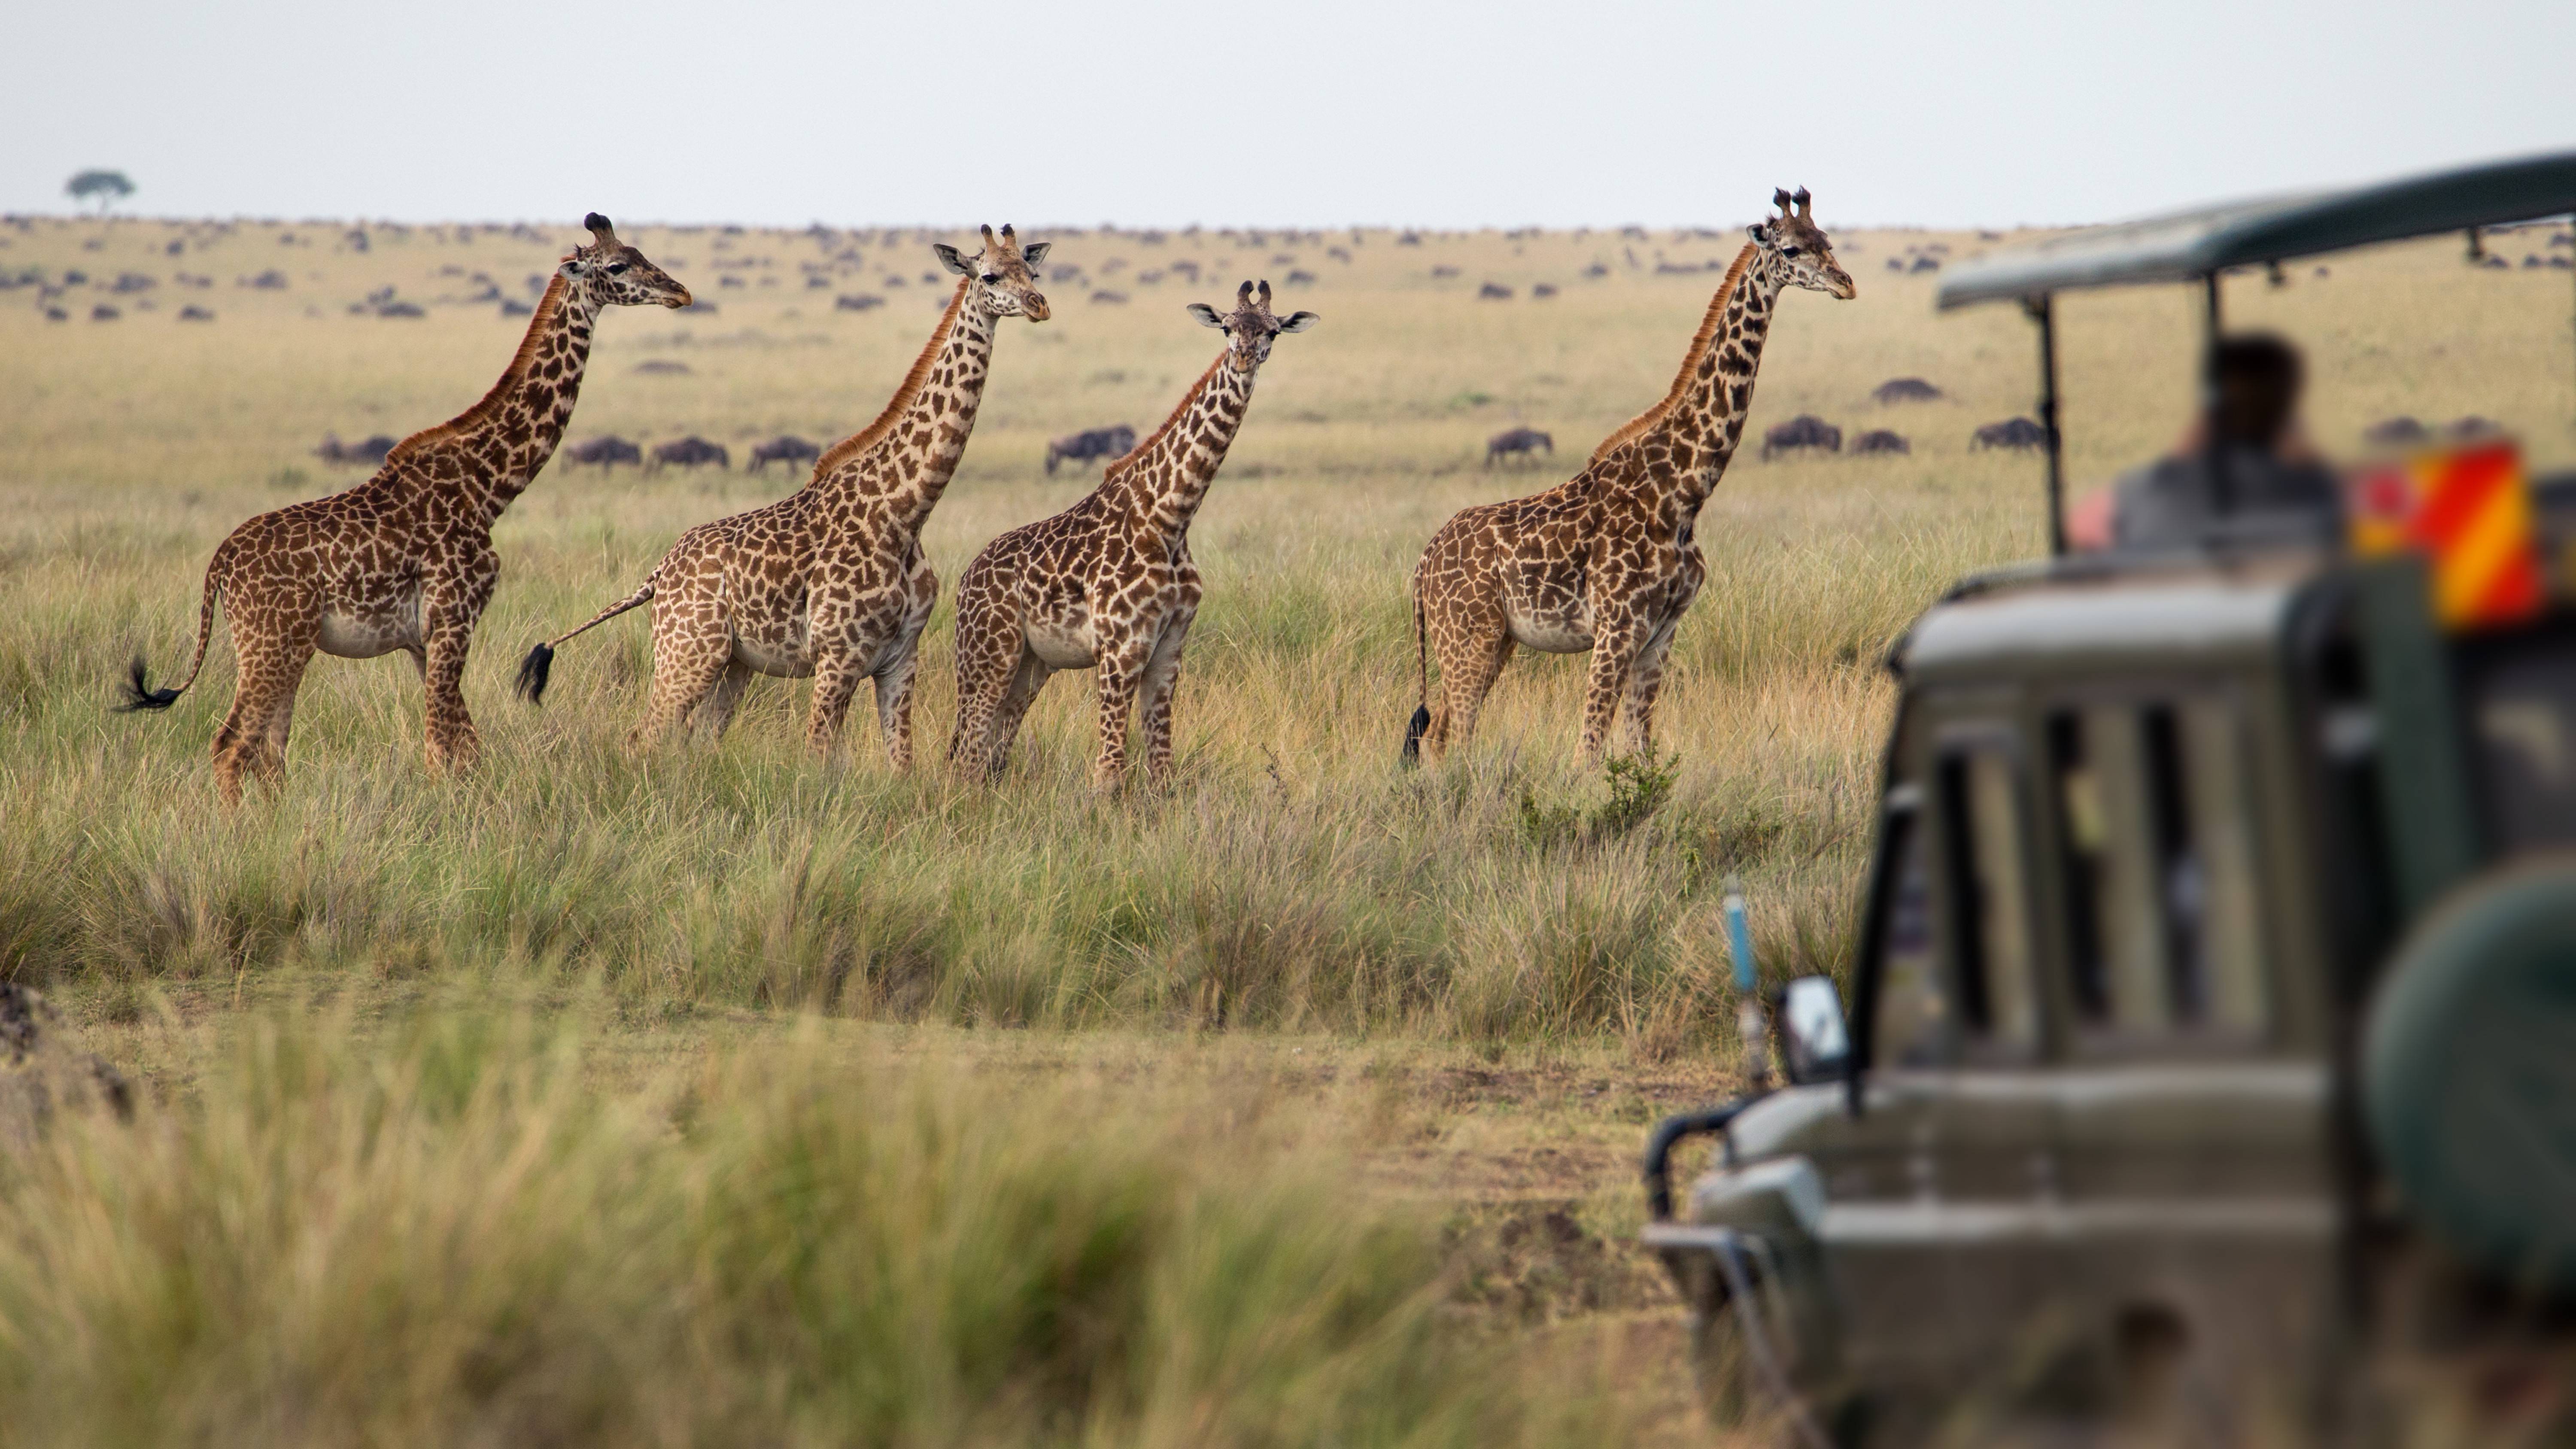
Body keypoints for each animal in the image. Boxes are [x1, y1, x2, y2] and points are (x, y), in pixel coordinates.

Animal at [122, 214, 690, 799]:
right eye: (618, 266)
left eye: (639, 254)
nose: (680, 292)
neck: (487, 488)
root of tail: (219, 566)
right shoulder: (453, 620)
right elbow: (444, 747)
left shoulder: (424, 640)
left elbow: (462, 746)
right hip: (271, 642)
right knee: (233, 745)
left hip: (286, 646)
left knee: (269, 751)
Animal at [513, 223, 1046, 768]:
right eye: (989, 275)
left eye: (1034, 272)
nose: (1038, 305)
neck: (905, 510)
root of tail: (659, 574)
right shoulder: (838, 656)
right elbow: (818, 758)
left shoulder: (901, 657)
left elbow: (901, 763)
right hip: (688, 652)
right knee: (645, 735)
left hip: (733, 664)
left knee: (698, 738)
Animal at [948, 274, 1319, 784]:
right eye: (1227, 326)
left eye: (1273, 332)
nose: (1244, 357)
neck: (1171, 517)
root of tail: (967, 579)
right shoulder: (1120, 649)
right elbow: (1109, 771)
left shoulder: (1169, 650)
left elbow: (1161, 766)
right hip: (988, 654)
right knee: (967, 754)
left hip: (1031, 663)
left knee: (991, 752)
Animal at [1412, 192, 1855, 768]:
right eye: (1791, 249)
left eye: (1828, 240)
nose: (1846, 283)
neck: (1684, 493)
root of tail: (1422, 565)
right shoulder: (1617, 629)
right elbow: (1589, 751)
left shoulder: (1661, 632)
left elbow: (1641, 749)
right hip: (1468, 636)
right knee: (1455, 735)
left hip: (1493, 640)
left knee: (1439, 734)